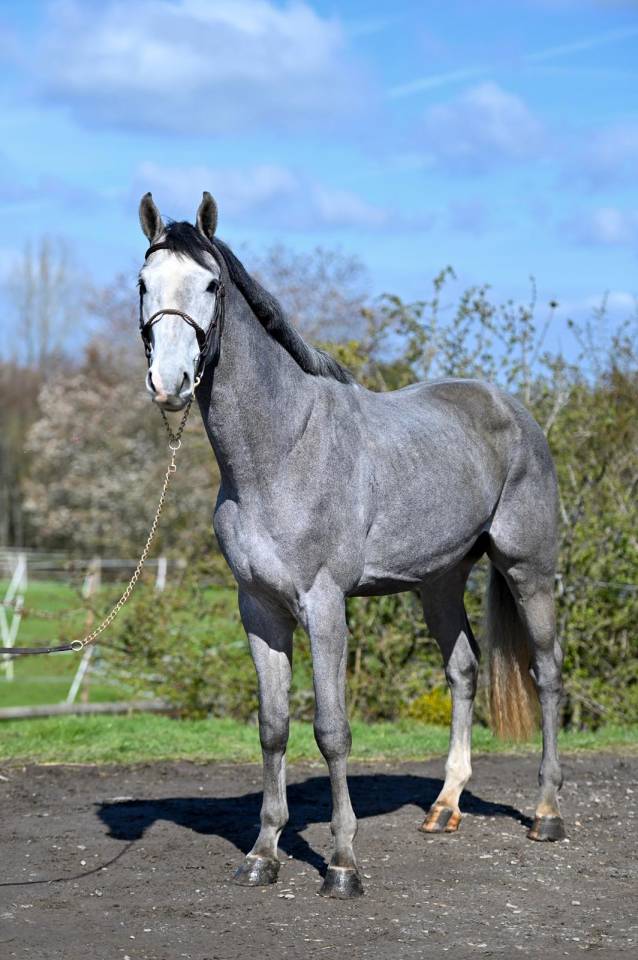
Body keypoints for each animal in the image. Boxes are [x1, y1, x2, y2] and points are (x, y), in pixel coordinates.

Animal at [137, 191, 565, 899]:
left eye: (211, 283)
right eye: (144, 283)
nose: (170, 382)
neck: (279, 452)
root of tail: (511, 408)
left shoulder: (324, 605)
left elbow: (332, 730)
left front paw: (342, 864)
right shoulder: (259, 610)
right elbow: (273, 728)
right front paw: (262, 853)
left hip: (528, 569)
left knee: (548, 674)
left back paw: (548, 814)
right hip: (439, 581)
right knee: (464, 669)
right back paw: (445, 807)